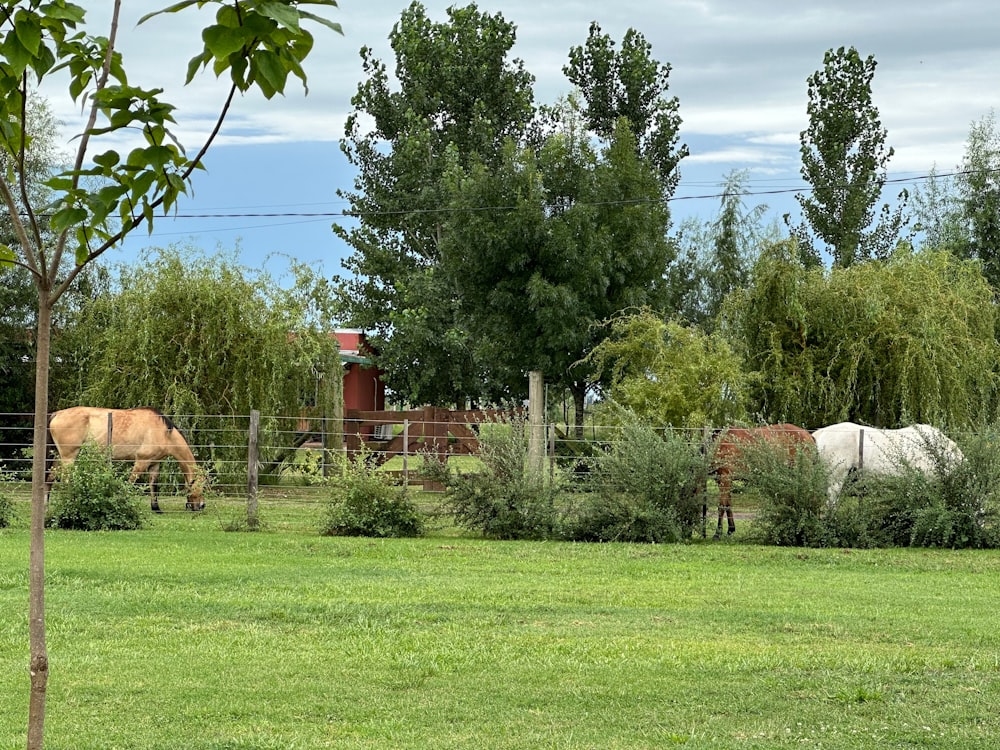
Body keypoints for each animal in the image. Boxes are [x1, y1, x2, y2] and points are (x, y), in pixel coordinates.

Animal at [47, 408, 205, 516]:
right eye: (201, 486)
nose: (202, 505)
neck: (164, 433)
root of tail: (57, 414)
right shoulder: (141, 461)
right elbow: (130, 483)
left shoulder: (154, 464)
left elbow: (153, 485)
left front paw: (156, 508)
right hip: (68, 457)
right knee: (65, 480)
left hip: (57, 457)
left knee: (49, 479)